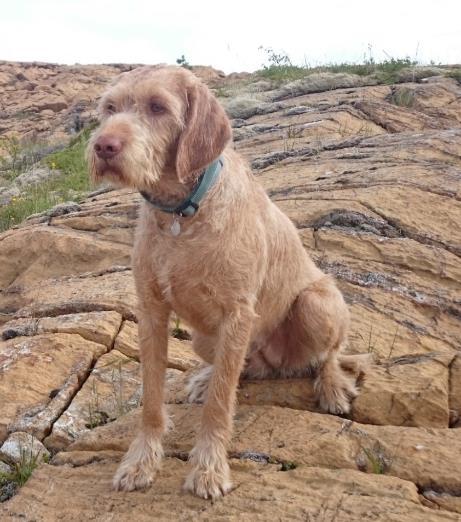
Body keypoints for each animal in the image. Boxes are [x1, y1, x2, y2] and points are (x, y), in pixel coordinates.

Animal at [88, 66, 364, 500]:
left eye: (158, 107)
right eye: (110, 108)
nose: (104, 146)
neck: (180, 214)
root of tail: (279, 364)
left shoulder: (237, 313)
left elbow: (219, 406)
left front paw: (208, 469)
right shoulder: (150, 311)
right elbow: (152, 398)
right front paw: (141, 461)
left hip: (317, 303)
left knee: (326, 355)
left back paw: (332, 386)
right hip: (204, 339)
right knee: (239, 369)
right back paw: (206, 378)